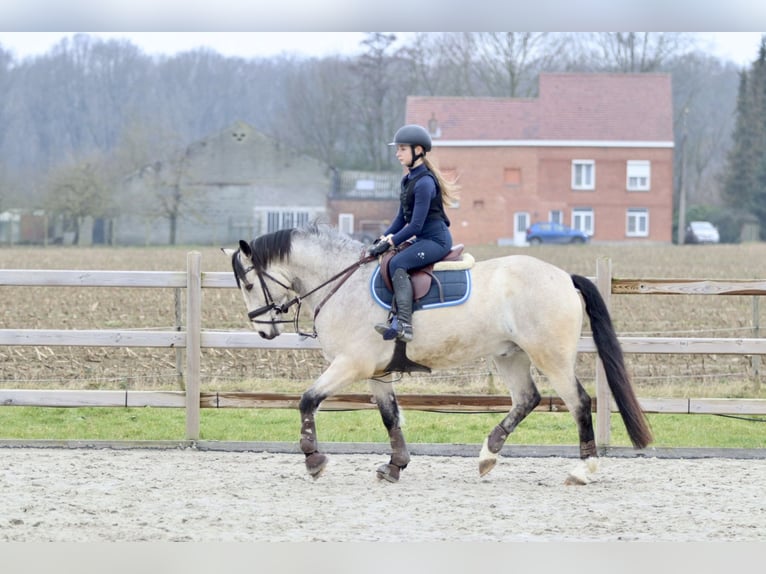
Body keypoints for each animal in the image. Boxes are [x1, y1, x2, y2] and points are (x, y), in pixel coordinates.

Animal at [226, 224, 656, 486]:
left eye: (247, 283)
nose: (263, 331)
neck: (342, 283)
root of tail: (564, 276)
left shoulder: (351, 364)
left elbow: (307, 400)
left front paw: (313, 460)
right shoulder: (377, 373)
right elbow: (389, 417)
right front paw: (395, 466)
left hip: (550, 356)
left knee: (579, 402)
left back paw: (583, 469)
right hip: (509, 354)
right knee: (526, 399)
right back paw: (487, 455)